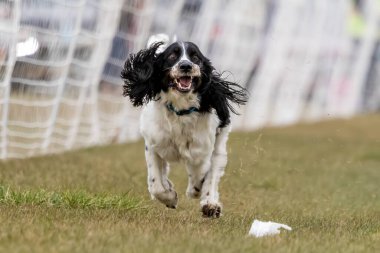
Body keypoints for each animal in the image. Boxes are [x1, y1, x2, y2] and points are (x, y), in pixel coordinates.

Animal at [120, 40, 248, 217]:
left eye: (196, 57)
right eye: (172, 56)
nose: (186, 65)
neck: (180, 110)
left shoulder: (201, 149)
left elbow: (202, 173)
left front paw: (196, 190)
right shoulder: (153, 143)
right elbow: (156, 183)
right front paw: (170, 197)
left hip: (219, 145)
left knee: (213, 172)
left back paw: (209, 205)